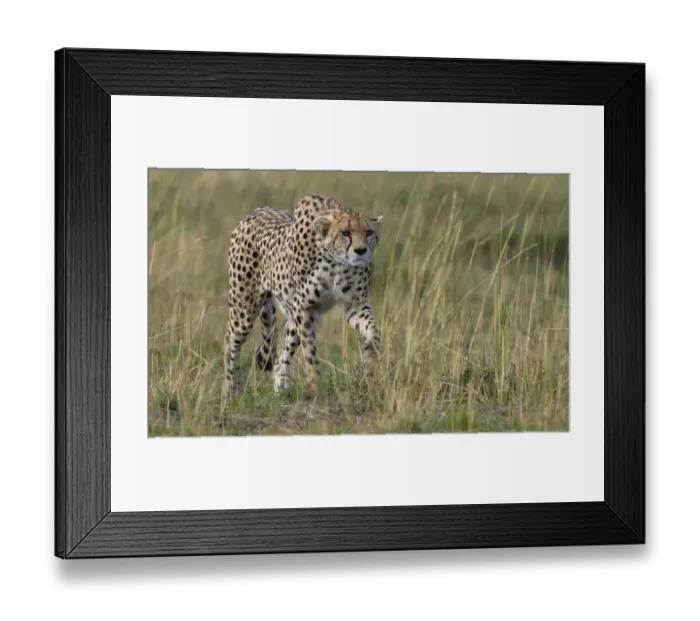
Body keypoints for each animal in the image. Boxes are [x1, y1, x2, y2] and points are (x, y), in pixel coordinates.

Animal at [221, 193, 384, 399]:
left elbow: (374, 329)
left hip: (292, 317)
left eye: (369, 232)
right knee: (230, 343)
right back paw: (230, 390)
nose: (361, 250)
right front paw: (316, 387)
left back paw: (280, 389)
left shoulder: (354, 304)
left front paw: (371, 354)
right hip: (244, 307)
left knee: (280, 357)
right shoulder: (304, 308)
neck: (337, 261)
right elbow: (310, 351)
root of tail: (257, 211)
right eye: (345, 233)